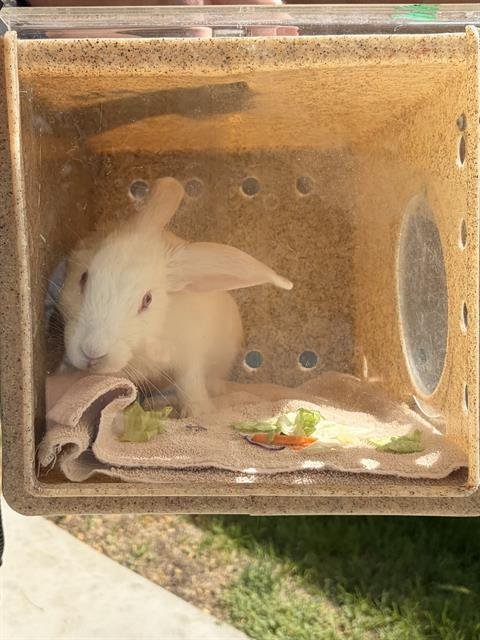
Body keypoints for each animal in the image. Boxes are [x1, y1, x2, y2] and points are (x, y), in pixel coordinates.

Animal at [58, 177, 293, 417]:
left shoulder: (190, 355)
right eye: (83, 278)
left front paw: (199, 412)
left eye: (147, 300)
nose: (92, 352)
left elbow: (190, 382)